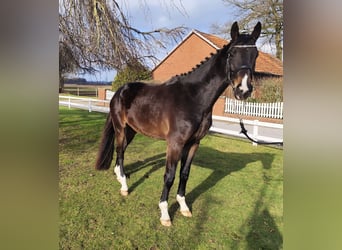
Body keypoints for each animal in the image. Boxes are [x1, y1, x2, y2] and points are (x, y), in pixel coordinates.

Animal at [95, 22, 260, 227]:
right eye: (232, 53)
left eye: (255, 54)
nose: (243, 90)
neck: (194, 97)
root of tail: (119, 91)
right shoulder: (175, 144)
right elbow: (170, 176)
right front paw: (165, 214)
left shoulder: (194, 143)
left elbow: (184, 174)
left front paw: (183, 207)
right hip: (120, 128)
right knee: (119, 151)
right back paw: (125, 186)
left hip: (132, 130)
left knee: (122, 151)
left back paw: (120, 176)